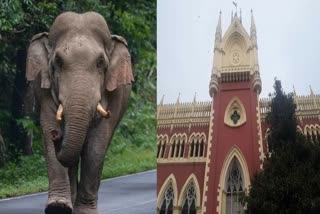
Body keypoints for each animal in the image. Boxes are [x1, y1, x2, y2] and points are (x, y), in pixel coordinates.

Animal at [25, 12, 134, 214]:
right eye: (58, 62)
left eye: (100, 63)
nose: (57, 135)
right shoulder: (42, 89)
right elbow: (49, 126)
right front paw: (58, 207)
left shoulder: (114, 95)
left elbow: (97, 145)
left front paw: (85, 211)